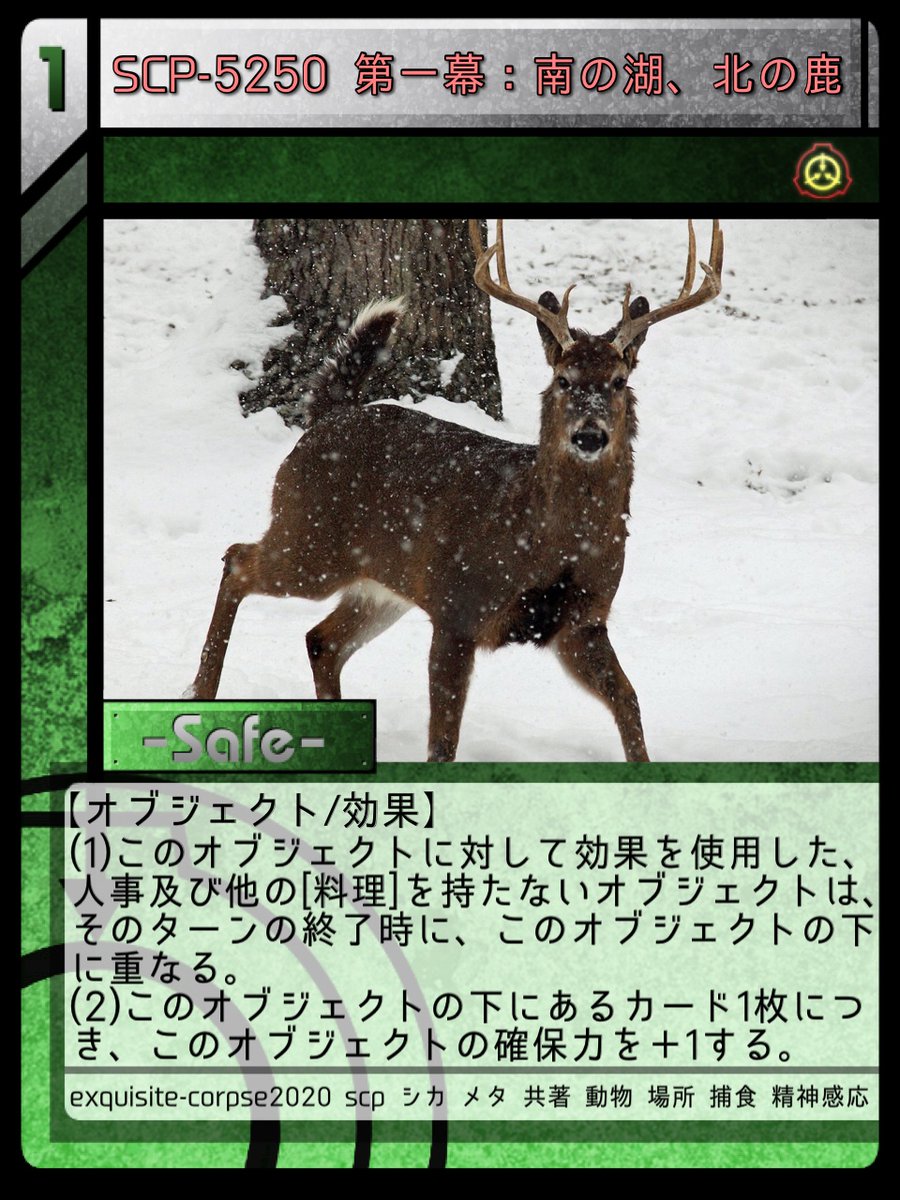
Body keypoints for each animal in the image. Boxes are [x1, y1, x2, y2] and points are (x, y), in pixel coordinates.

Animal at [187, 219, 724, 762]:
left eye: (617, 380)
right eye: (563, 379)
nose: (589, 436)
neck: (541, 540)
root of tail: (328, 417)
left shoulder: (583, 621)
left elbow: (629, 700)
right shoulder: (456, 607)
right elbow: (443, 740)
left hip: (383, 583)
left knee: (322, 640)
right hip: (311, 541)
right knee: (237, 560)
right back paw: (198, 696)